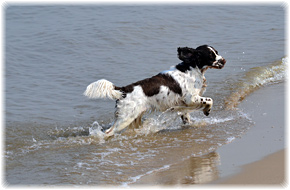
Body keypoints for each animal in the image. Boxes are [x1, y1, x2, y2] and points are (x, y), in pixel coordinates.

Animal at [84, 45, 227, 137]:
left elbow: (187, 118)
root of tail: (123, 89)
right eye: (211, 55)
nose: (224, 60)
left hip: (135, 117)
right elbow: (210, 100)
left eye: (216, 52)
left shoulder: (183, 105)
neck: (192, 68)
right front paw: (207, 111)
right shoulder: (190, 99)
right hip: (126, 118)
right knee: (108, 132)